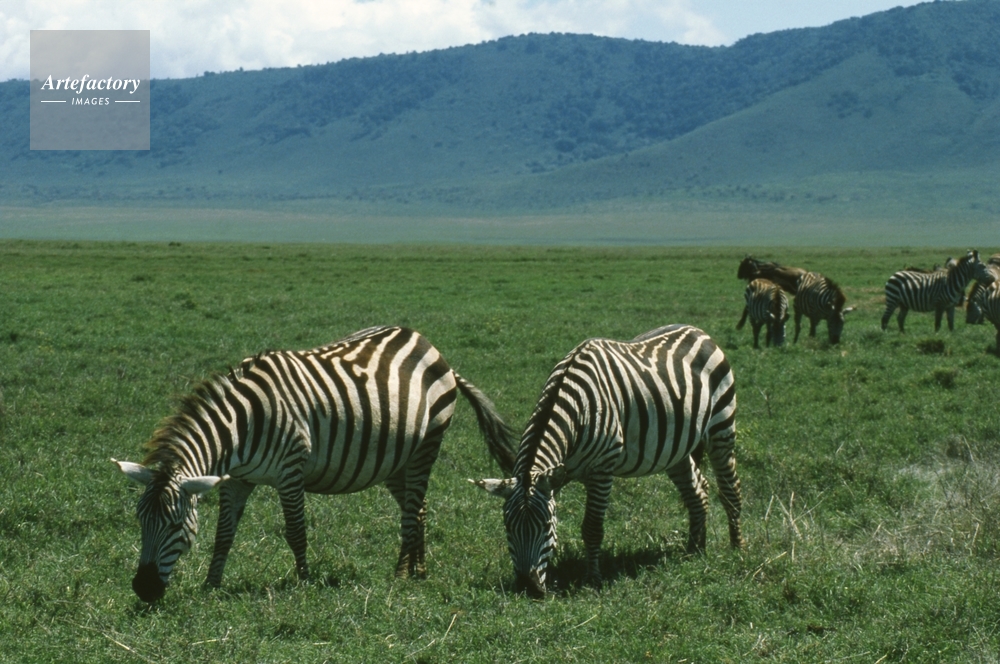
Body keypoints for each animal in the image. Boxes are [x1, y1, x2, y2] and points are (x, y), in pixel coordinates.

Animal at [113, 326, 516, 602]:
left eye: (175, 523)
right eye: (140, 522)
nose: (143, 589)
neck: (242, 425)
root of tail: (426, 342)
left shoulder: (291, 470)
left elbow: (295, 531)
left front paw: (303, 581)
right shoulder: (236, 480)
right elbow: (223, 534)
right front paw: (211, 585)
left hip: (426, 446)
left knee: (413, 509)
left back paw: (401, 574)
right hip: (395, 460)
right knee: (418, 508)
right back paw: (419, 569)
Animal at [474, 324, 743, 597]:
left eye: (547, 526)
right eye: (508, 527)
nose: (528, 588)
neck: (576, 410)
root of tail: (697, 330)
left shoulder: (601, 470)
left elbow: (592, 528)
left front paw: (593, 579)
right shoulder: (556, 477)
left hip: (721, 428)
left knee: (730, 489)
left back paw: (736, 549)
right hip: (676, 448)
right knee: (697, 490)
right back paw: (695, 549)